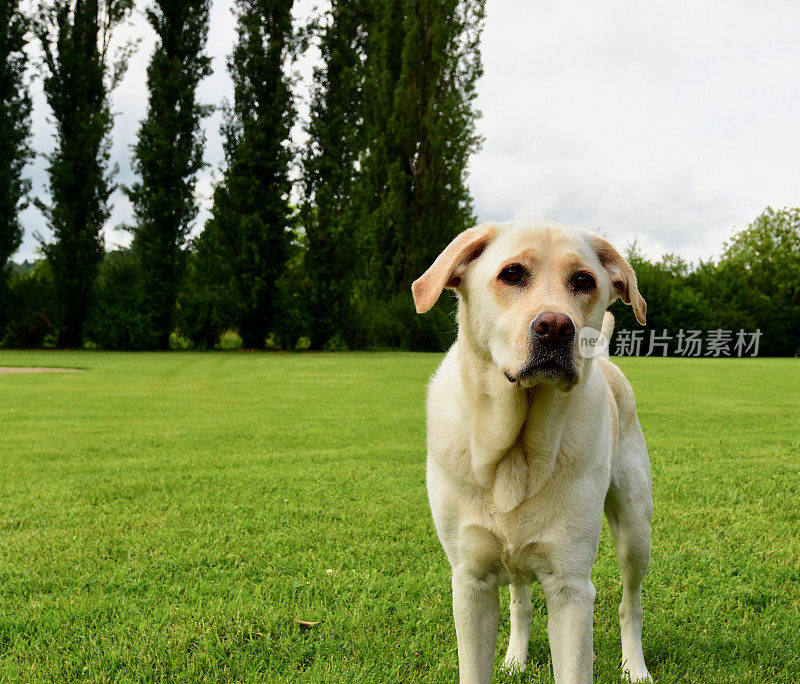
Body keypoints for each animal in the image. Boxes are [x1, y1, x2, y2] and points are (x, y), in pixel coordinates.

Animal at [416, 222, 652, 680]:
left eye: (584, 281)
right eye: (512, 274)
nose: (558, 327)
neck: (516, 449)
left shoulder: (571, 587)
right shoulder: (470, 581)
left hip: (636, 528)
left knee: (629, 604)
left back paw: (635, 667)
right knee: (520, 601)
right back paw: (515, 659)